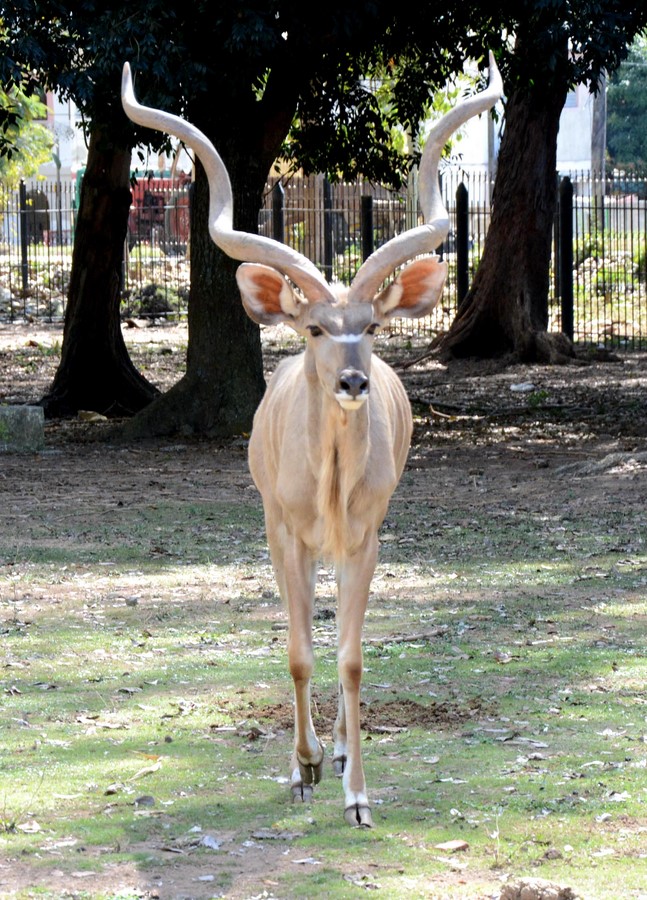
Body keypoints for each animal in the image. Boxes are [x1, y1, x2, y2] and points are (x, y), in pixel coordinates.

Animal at [123, 56, 506, 828]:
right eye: (314, 328)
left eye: (373, 324)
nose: (354, 381)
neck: (329, 482)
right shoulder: (282, 534)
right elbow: (299, 650)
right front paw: (301, 769)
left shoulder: (365, 541)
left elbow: (350, 657)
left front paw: (355, 789)